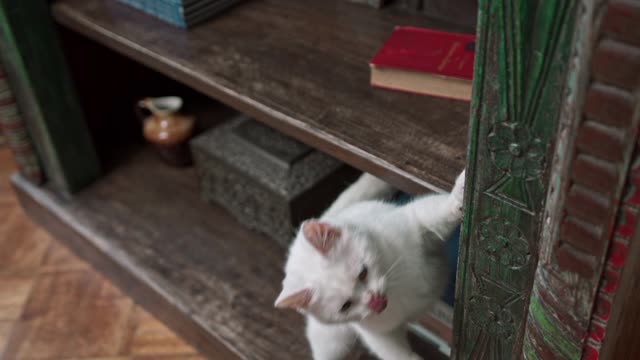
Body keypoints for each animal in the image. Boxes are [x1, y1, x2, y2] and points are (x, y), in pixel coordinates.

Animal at [274, 169, 464, 360]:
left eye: (363, 273)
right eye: (346, 306)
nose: (375, 301)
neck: (395, 284)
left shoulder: (412, 223)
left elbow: (437, 215)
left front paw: (459, 194)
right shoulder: (379, 333)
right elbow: (395, 352)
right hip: (332, 341)